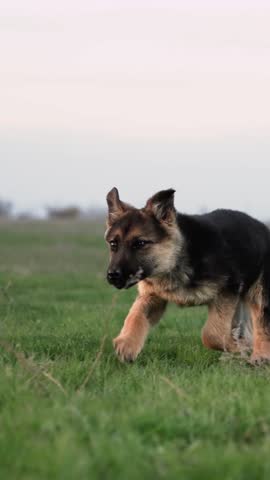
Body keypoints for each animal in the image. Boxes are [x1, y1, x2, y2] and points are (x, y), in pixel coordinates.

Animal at [104, 187, 270, 364]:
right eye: (113, 244)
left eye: (140, 243)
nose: (112, 275)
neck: (177, 257)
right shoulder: (152, 296)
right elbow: (135, 315)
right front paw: (127, 343)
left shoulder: (228, 289)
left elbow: (211, 334)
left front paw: (240, 347)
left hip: (259, 293)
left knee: (261, 322)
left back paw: (260, 356)